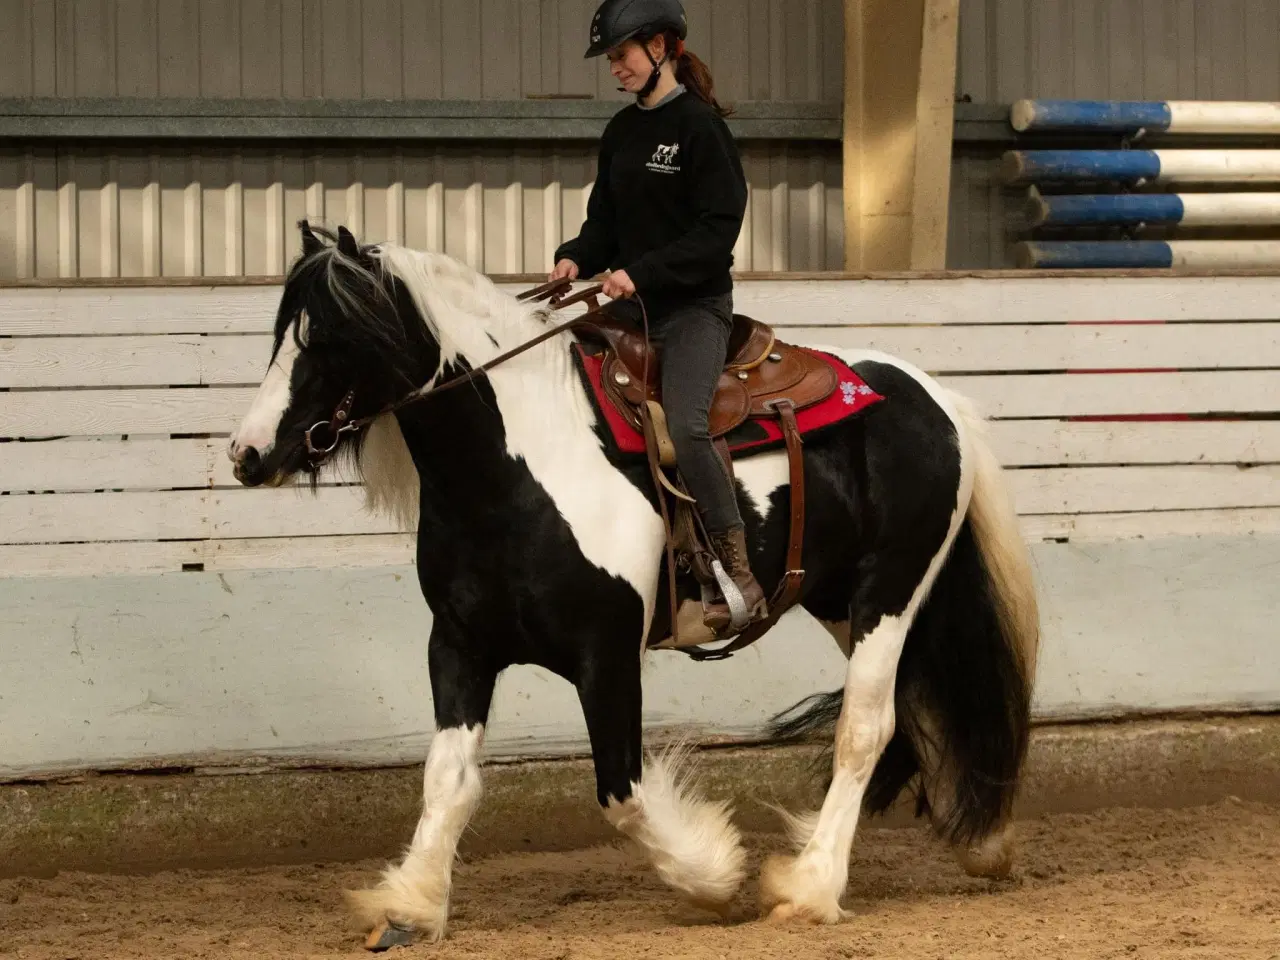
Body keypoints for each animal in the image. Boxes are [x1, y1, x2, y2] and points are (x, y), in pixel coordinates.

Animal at [225, 221, 1034, 952]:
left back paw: (809, 887)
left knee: (865, 728)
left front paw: (715, 873)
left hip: (887, 595)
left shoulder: (606, 653)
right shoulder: (459, 645)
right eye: (282, 333)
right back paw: (976, 843)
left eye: (331, 337)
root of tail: (935, 397)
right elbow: (448, 778)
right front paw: (410, 905)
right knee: (917, 703)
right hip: (839, 601)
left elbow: (621, 791)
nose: (247, 453)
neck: (521, 469)